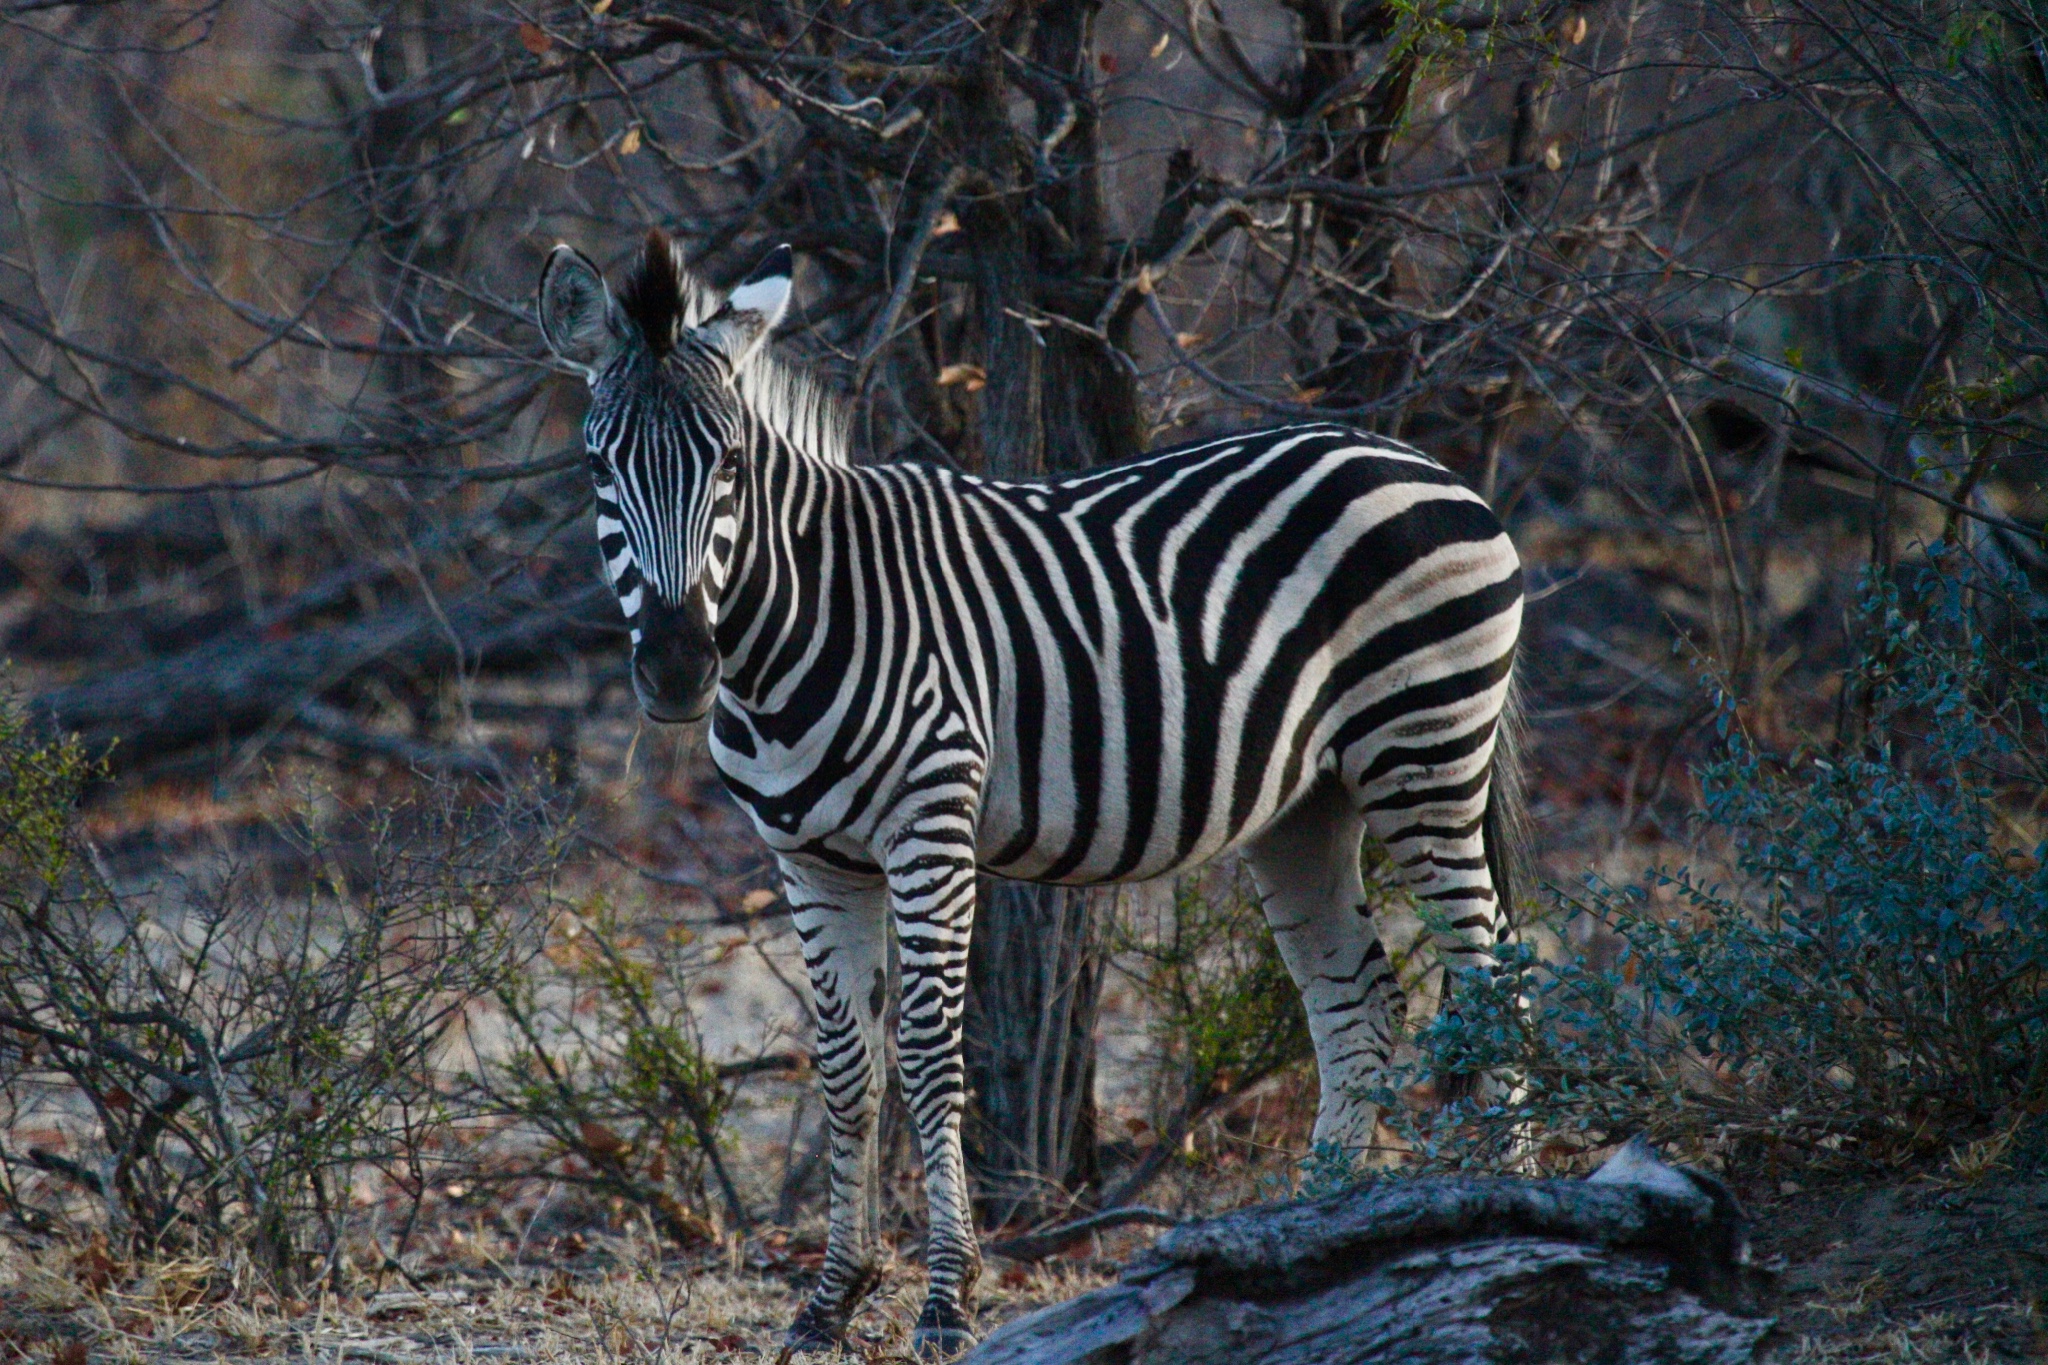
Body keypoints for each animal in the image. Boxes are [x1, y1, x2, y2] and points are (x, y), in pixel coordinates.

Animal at [536, 229, 1531, 1358]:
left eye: (731, 465)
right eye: (598, 466)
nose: (673, 669)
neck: (796, 620)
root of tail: (1419, 464)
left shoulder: (929, 829)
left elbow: (928, 1052)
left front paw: (945, 1299)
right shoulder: (810, 859)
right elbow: (843, 1064)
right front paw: (830, 1299)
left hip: (1424, 756)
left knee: (1491, 982)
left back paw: (1507, 1216)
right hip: (1303, 810)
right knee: (1357, 1003)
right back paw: (1311, 1229)